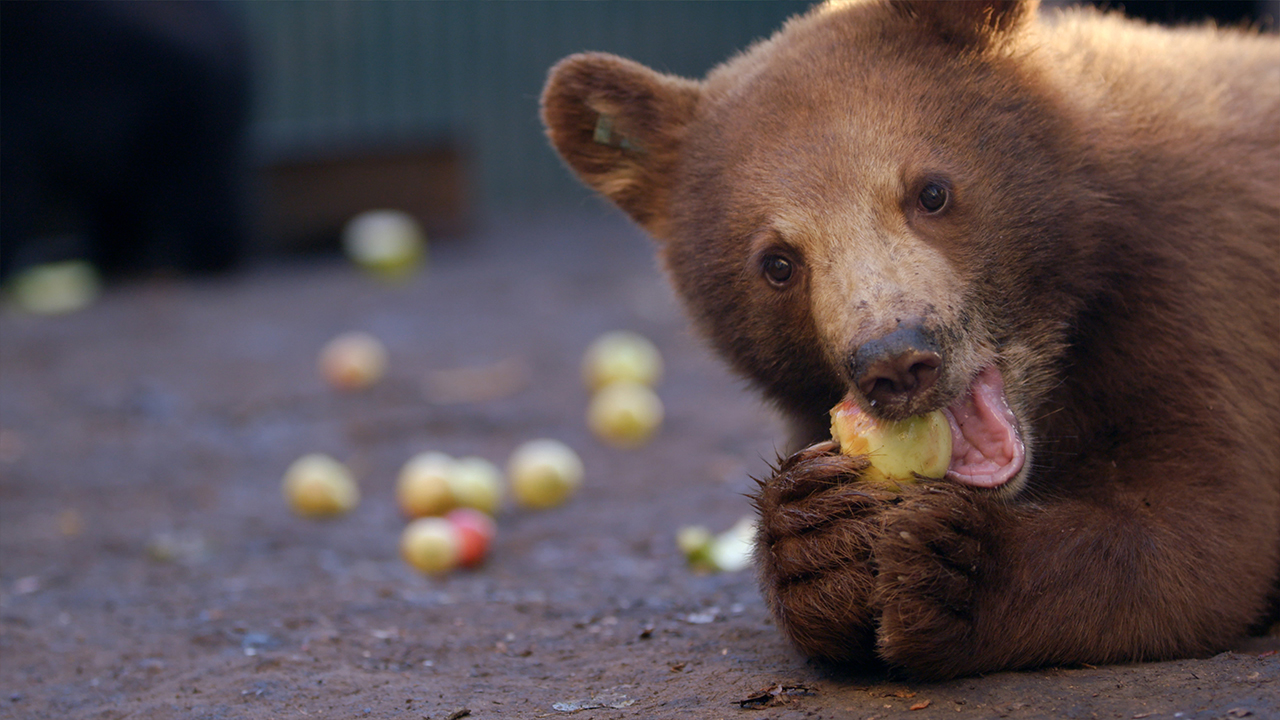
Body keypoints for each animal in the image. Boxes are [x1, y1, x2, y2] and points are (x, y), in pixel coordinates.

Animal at [541, 0, 1280, 680]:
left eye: (931, 192)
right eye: (777, 263)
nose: (897, 363)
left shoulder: (1198, 293)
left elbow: (1205, 531)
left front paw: (953, 567)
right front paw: (818, 538)